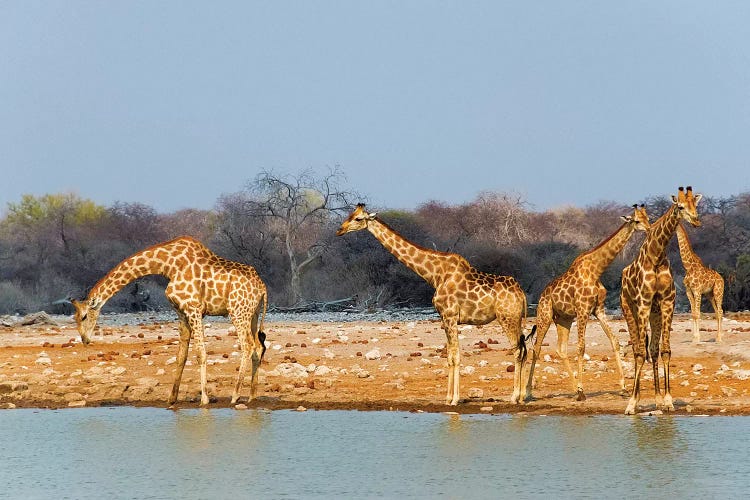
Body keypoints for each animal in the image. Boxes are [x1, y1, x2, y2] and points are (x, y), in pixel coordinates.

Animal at [70, 235, 268, 406]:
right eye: (75, 318)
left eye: (84, 316)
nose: (84, 339)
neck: (168, 265)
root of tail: (262, 287)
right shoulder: (181, 312)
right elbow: (181, 355)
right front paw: (171, 398)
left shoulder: (194, 308)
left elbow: (200, 353)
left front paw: (204, 399)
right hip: (252, 314)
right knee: (258, 346)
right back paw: (252, 396)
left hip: (237, 311)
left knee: (248, 345)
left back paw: (235, 396)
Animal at [338, 205, 532, 404]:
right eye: (350, 215)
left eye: (358, 218)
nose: (340, 230)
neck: (434, 275)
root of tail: (521, 293)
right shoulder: (445, 318)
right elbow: (449, 357)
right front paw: (448, 398)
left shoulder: (450, 316)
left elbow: (455, 356)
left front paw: (454, 399)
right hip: (515, 319)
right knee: (524, 350)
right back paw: (521, 395)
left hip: (507, 318)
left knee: (518, 351)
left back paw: (514, 397)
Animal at [524, 203, 652, 402]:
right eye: (637, 220)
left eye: (648, 218)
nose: (649, 229)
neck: (596, 270)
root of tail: (542, 295)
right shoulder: (583, 310)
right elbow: (581, 347)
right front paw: (583, 391)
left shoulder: (598, 309)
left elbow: (614, 341)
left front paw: (623, 387)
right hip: (545, 315)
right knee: (536, 348)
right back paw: (529, 392)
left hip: (563, 319)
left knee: (561, 349)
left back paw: (573, 388)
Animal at [620, 187, 704, 414]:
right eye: (680, 206)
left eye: (695, 204)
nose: (696, 221)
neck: (656, 256)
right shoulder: (643, 303)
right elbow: (640, 353)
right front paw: (631, 404)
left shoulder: (667, 302)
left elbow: (664, 350)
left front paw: (667, 400)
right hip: (629, 308)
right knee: (637, 349)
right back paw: (636, 399)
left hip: (655, 312)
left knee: (653, 349)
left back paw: (656, 398)